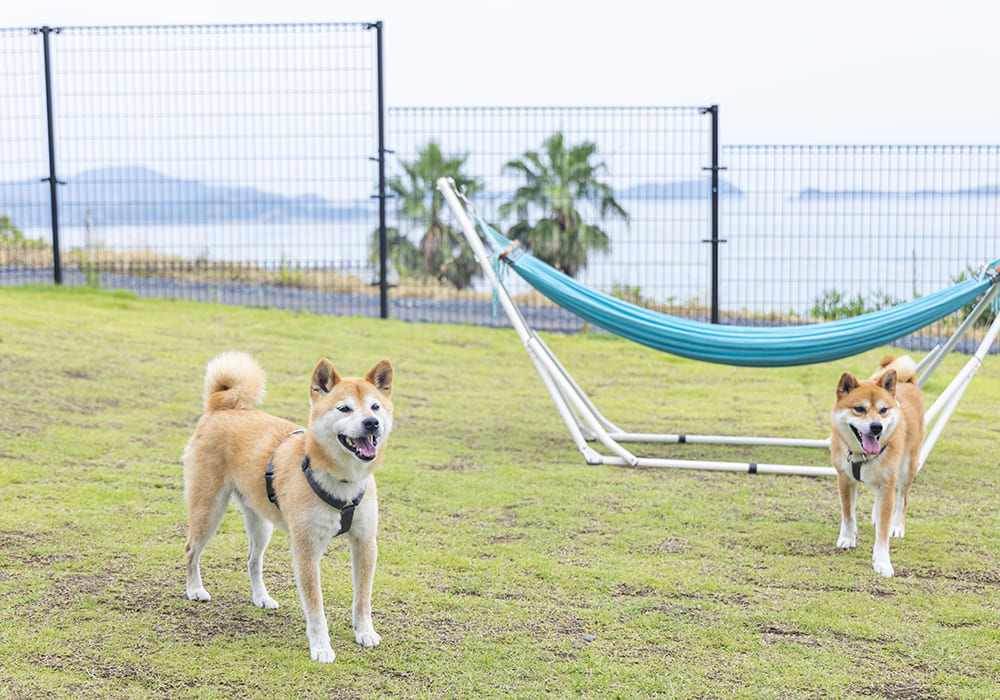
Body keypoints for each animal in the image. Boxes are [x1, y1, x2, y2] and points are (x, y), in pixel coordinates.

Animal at [184, 350, 394, 660]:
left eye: (375, 407)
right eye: (344, 408)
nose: (371, 423)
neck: (341, 479)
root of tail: (220, 407)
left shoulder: (365, 543)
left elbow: (362, 598)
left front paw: (364, 632)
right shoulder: (306, 551)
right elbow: (315, 608)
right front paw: (321, 647)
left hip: (261, 523)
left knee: (253, 560)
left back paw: (261, 597)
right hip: (209, 510)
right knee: (191, 550)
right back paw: (195, 589)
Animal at [832, 358, 924, 576]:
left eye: (883, 410)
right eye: (859, 409)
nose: (876, 427)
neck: (863, 455)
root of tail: (907, 381)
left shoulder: (887, 485)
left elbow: (882, 531)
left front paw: (882, 561)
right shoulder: (845, 480)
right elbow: (848, 513)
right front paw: (848, 537)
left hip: (907, 469)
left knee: (902, 500)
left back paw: (897, 525)